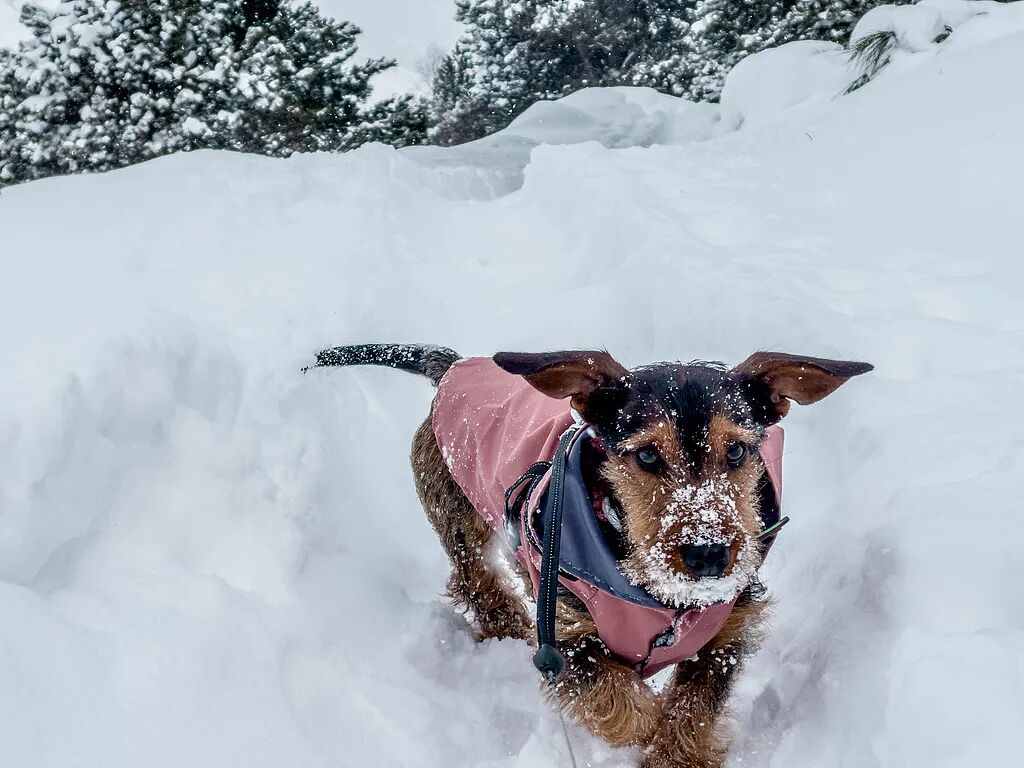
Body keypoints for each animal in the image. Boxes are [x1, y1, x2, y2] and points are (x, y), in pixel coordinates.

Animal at [309, 344, 872, 767]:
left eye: (736, 451)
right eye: (646, 455)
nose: (708, 554)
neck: (658, 596)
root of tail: (455, 365)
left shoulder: (724, 634)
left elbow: (693, 710)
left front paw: (678, 754)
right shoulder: (566, 636)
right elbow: (627, 706)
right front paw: (649, 730)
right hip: (457, 512)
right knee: (476, 582)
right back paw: (505, 628)